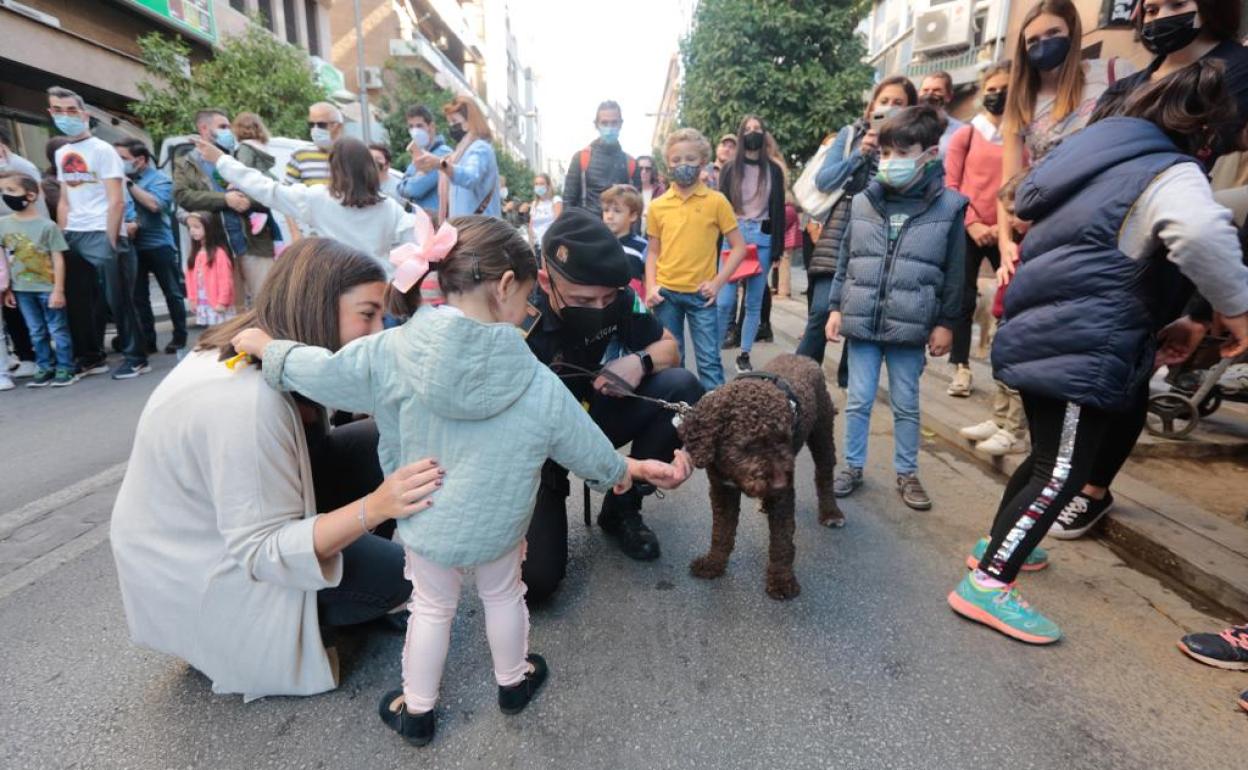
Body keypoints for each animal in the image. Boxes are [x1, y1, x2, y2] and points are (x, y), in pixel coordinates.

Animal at [678, 354, 843, 601]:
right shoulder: (721, 489)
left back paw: (831, 513)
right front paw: (713, 563)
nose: (780, 483)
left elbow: (782, 541)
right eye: (748, 445)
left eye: (784, 439)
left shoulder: (783, 497)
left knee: (824, 474)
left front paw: (782, 580)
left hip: (822, 434)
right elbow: (721, 532)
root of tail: (804, 357)